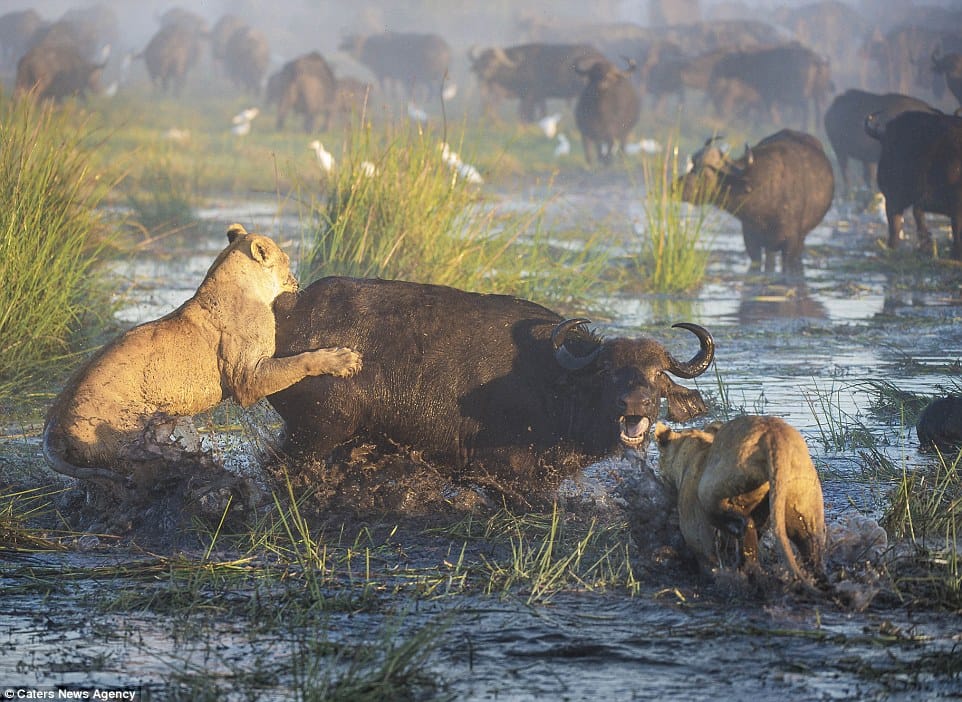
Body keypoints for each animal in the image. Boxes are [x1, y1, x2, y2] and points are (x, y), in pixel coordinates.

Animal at [42, 223, 362, 518]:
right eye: (285, 259)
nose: (296, 281)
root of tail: (53, 424)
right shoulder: (247, 378)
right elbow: (299, 361)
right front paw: (341, 359)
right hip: (127, 444)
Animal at [268, 277, 715, 495]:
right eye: (606, 370)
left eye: (658, 374)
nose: (633, 402)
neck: (555, 386)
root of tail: (291, 311)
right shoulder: (503, 473)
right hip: (316, 432)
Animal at [468, 43, 604, 121]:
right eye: (481, 61)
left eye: (494, 62)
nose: (483, 74)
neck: (519, 66)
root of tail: (599, 55)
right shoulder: (536, 97)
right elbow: (538, 113)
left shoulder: (531, 96)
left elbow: (528, 114)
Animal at [654, 415, 826, 586]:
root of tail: (773, 436)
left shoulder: (696, 529)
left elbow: (708, 557)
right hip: (800, 496)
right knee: (809, 542)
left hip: (721, 484)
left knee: (742, 522)